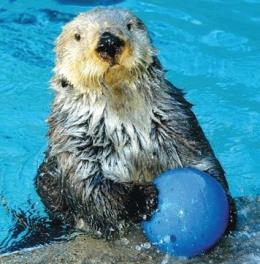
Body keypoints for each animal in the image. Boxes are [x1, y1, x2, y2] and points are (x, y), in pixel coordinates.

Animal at [35, 8, 237, 236]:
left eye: (129, 25)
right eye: (77, 36)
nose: (108, 41)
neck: (121, 115)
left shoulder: (175, 116)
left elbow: (198, 157)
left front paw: (229, 210)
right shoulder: (74, 136)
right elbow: (88, 185)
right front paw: (143, 198)